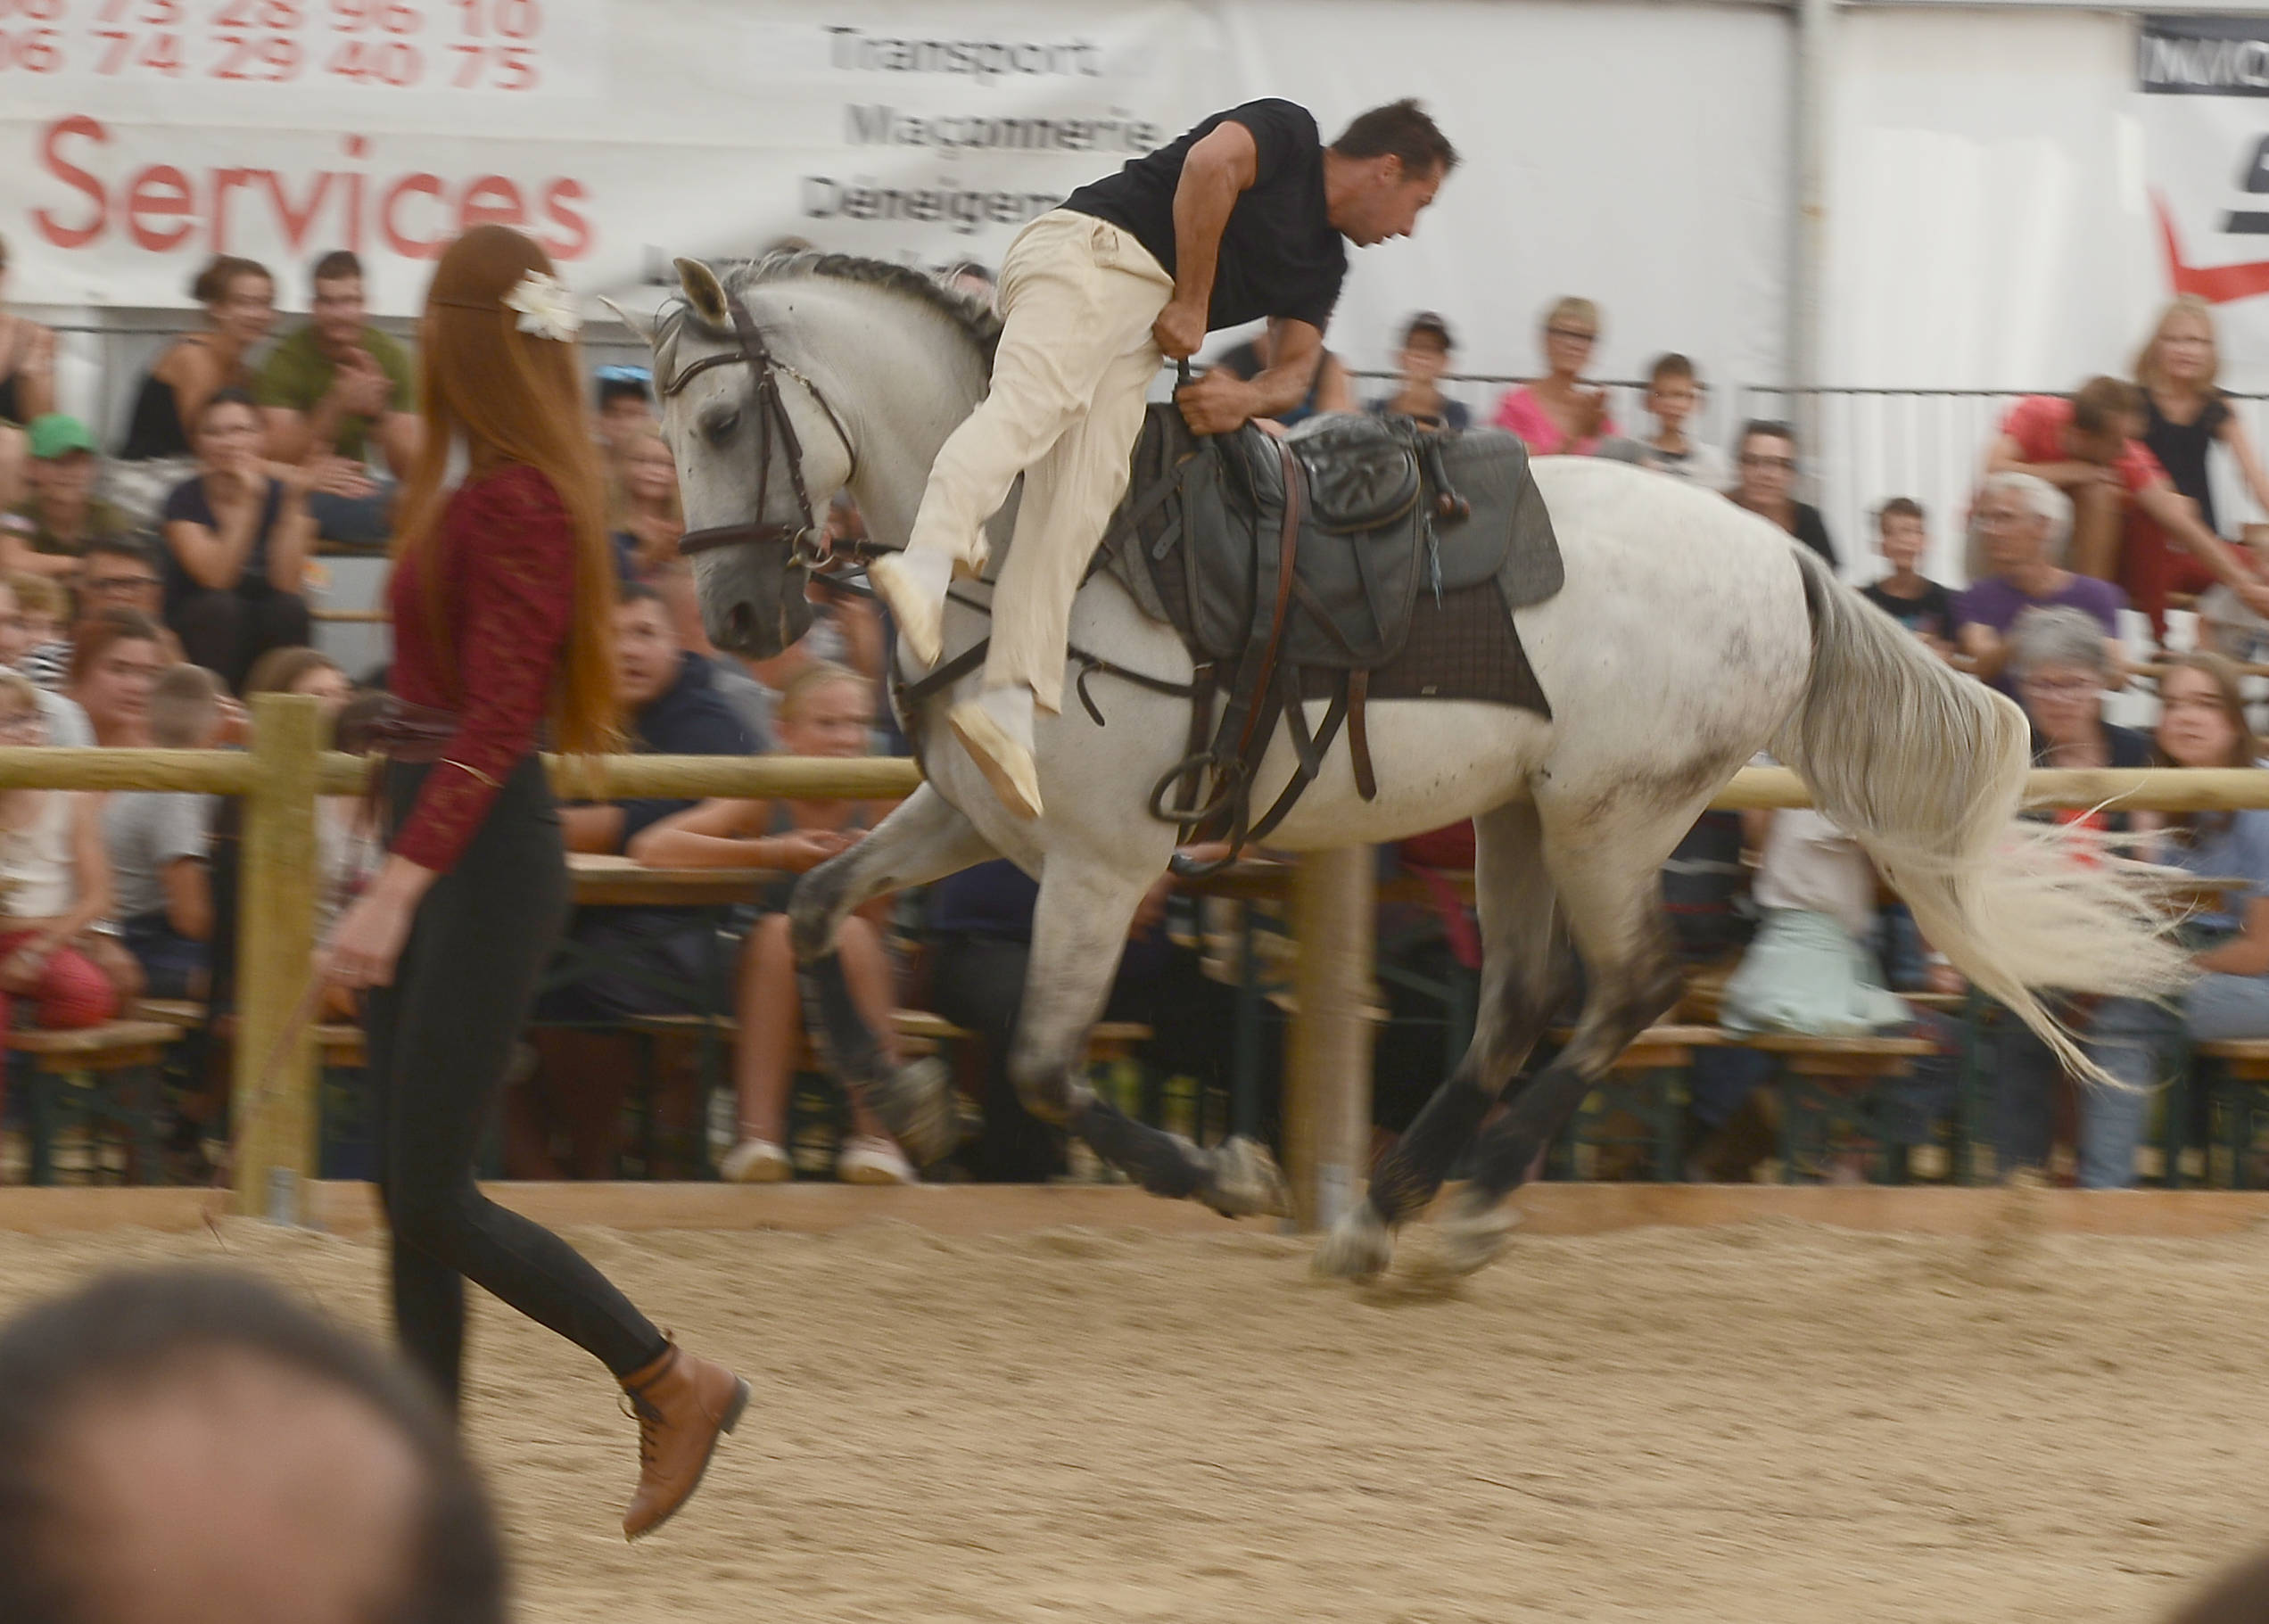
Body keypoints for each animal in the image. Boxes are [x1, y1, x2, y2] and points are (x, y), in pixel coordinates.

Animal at [622, 247, 2178, 1279]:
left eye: (720, 421)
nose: (739, 620)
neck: (1025, 542)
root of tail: (1783, 557)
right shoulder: (974, 818)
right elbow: (813, 907)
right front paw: (908, 1104)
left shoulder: (1104, 864)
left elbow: (1051, 1065)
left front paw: (1226, 1173)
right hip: (1521, 820)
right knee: (1523, 1004)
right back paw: (1387, 1206)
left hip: (1610, 818)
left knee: (1629, 991)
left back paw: (1463, 1208)